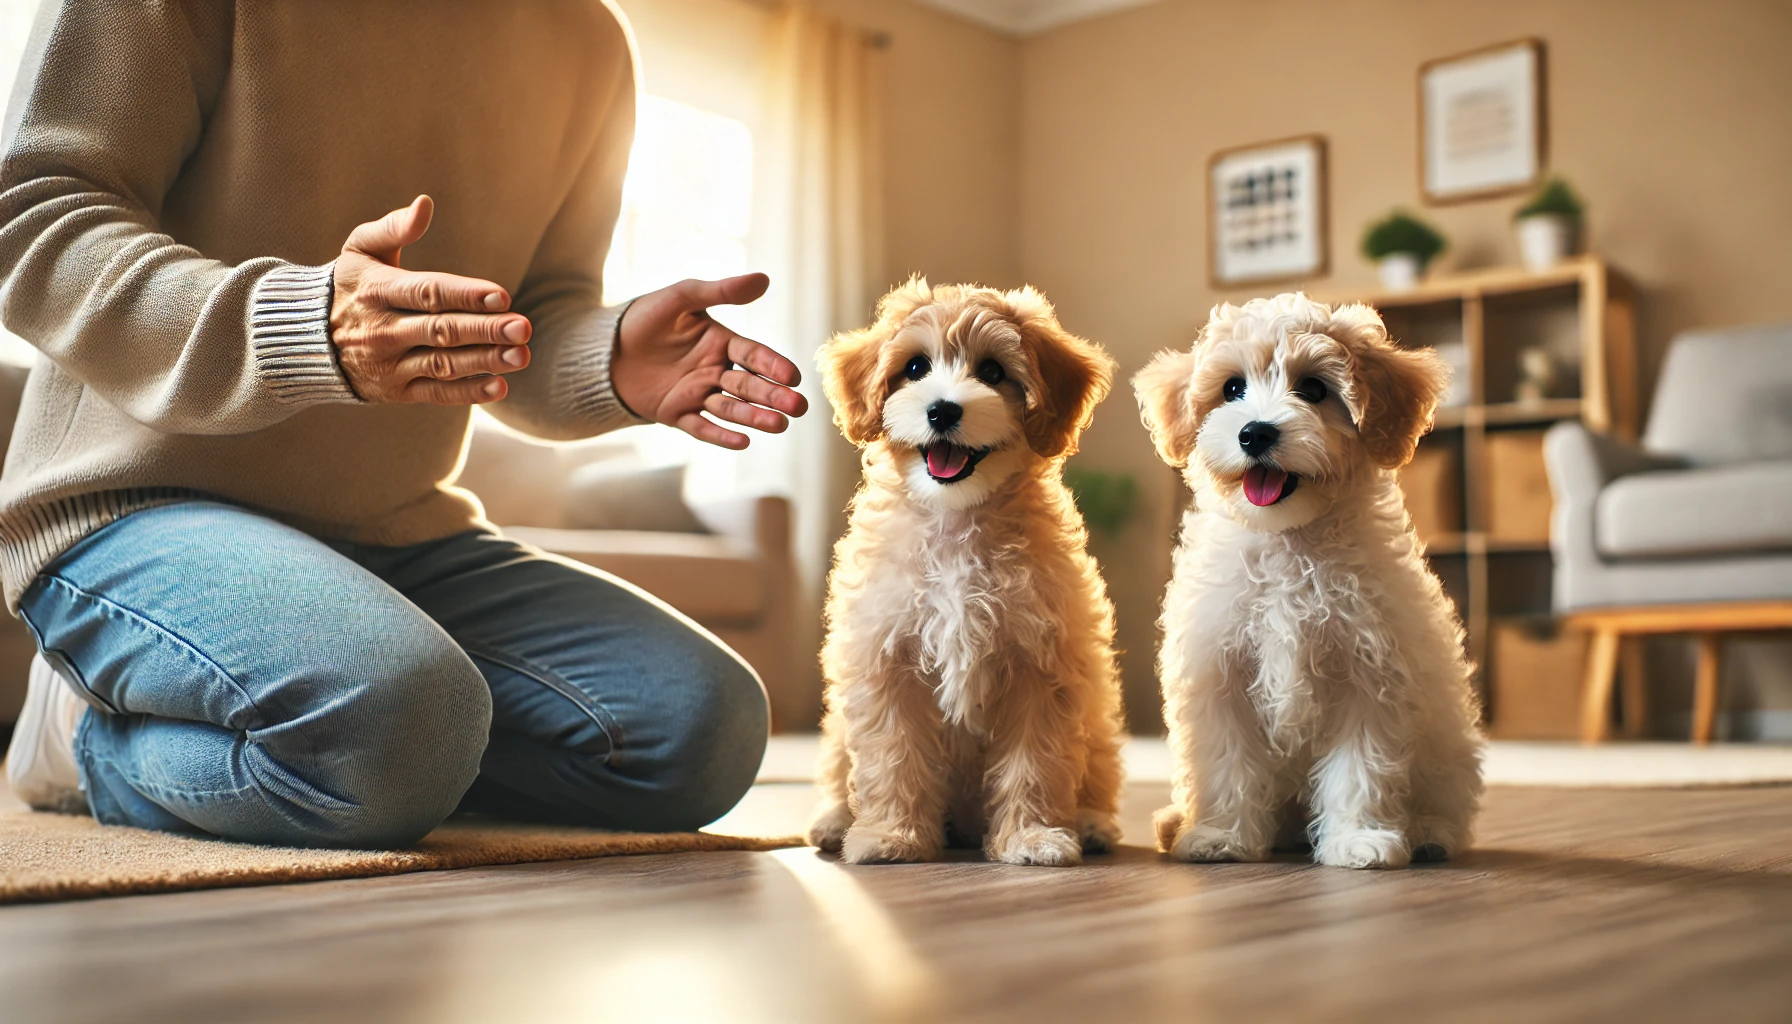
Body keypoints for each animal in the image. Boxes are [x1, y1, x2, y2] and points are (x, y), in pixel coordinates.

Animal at [809, 277, 1118, 864]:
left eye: (993, 372)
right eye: (914, 368)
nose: (942, 411)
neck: (956, 521)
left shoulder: (1041, 663)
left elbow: (1036, 762)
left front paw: (1033, 836)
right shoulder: (885, 659)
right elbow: (892, 755)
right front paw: (890, 835)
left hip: (1095, 714)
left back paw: (1091, 823)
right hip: (838, 725)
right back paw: (835, 821)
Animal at [1132, 292, 1483, 867]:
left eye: (1315, 390)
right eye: (1232, 388)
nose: (1255, 431)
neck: (1288, 544)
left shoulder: (1370, 671)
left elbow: (1360, 767)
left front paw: (1358, 839)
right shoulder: (1220, 673)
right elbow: (1225, 764)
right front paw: (1219, 835)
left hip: (1446, 747)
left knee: (1447, 797)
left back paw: (1430, 834)